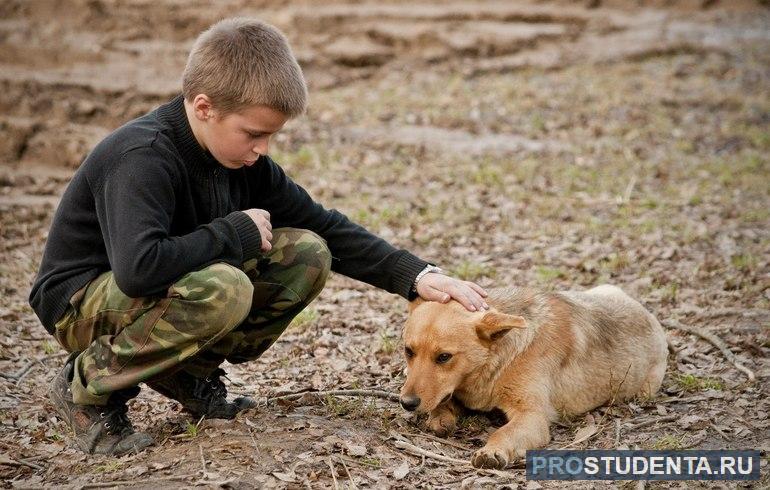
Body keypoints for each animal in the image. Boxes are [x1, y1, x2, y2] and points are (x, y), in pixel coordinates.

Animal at [400, 286, 664, 468]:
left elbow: (503, 432)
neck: (499, 360)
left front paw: (492, 450)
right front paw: (440, 416)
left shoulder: (532, 416)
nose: (406, 403)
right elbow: (443, 403)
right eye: (408, 351)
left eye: (444, 357)